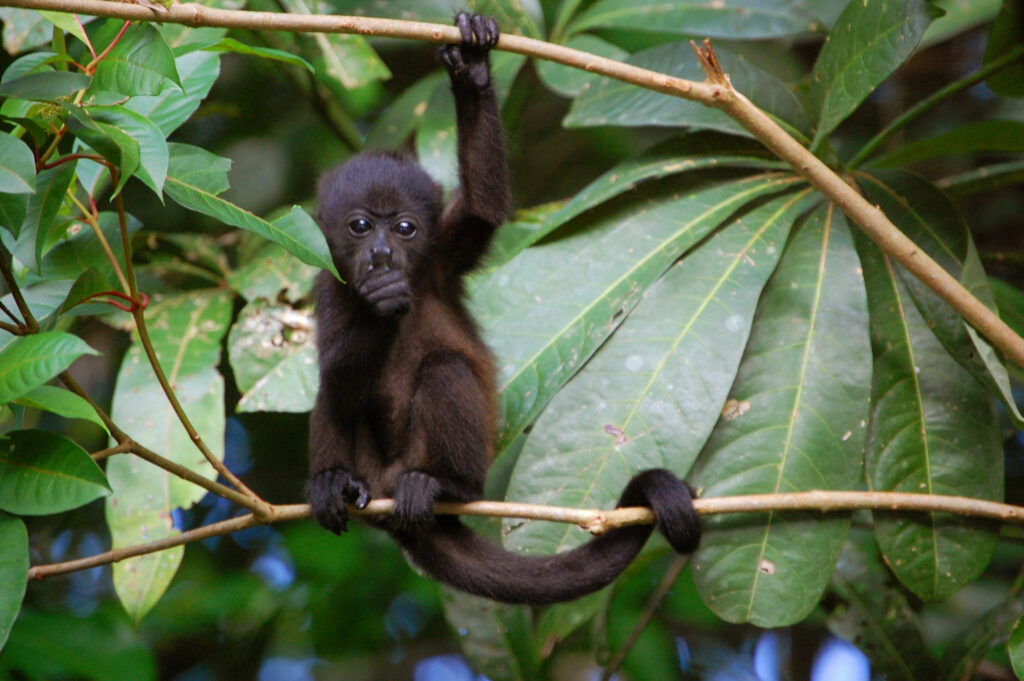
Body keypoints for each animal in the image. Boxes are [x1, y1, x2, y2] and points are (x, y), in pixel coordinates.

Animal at [306, 12, 701, 605]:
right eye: (359, 226)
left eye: (404, 228)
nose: (381, 256)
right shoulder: (326, 281)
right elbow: (336, 369)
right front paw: (378, 302)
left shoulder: (442, 256)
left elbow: (485, 210)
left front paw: (472, 71)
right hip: (371, 468)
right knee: (331, 389)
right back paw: (334, 482)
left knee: (445, 369)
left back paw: (442, 484)